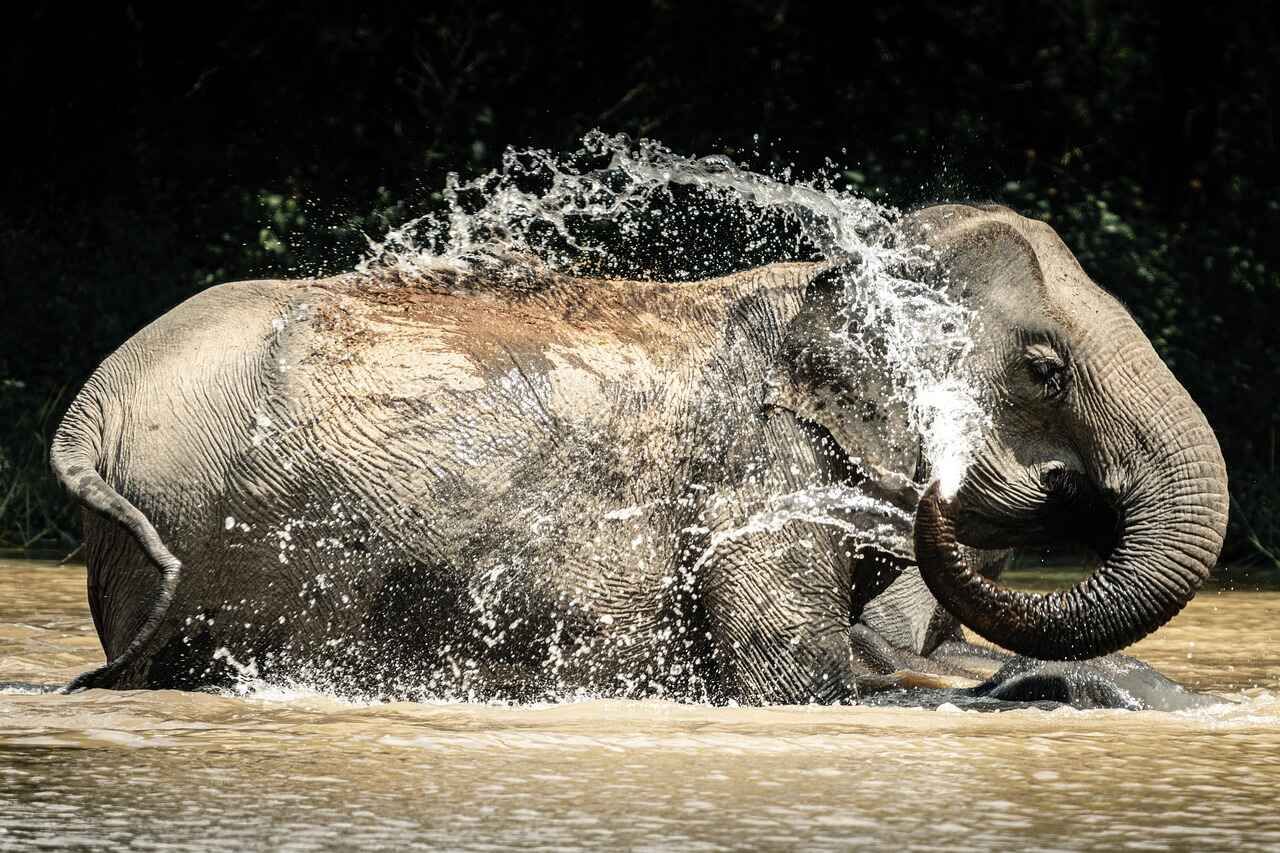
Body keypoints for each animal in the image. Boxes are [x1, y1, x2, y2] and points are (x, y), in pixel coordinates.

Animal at [49, 203, 1229, 709]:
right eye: (1043, 369)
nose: (1058, 487)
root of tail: (94, 402)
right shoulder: (757, 473)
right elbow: (796, 682)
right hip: (244, 525)